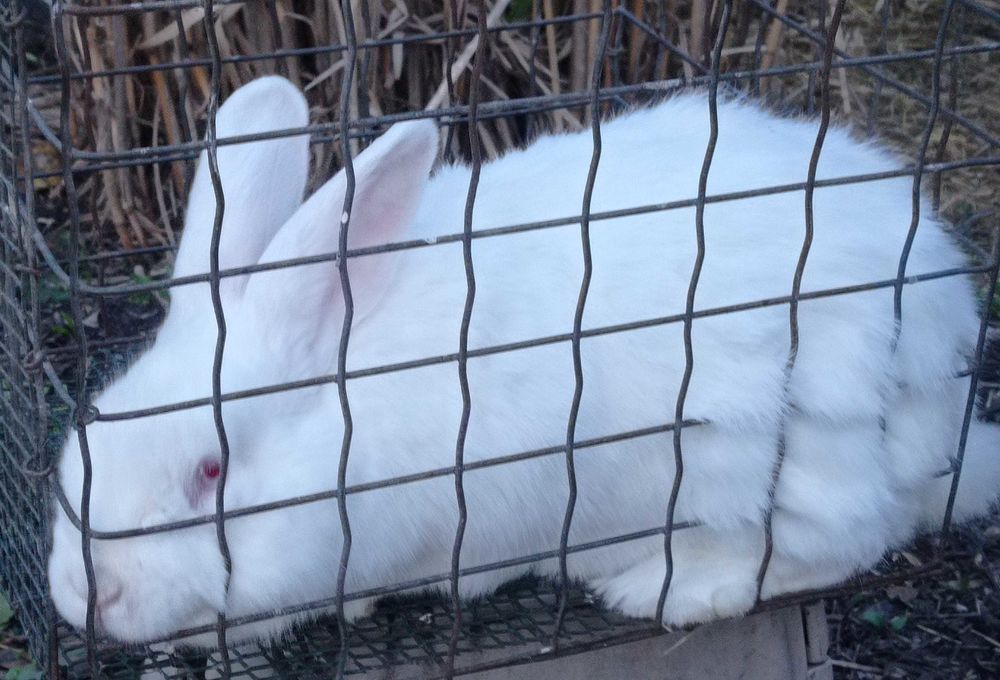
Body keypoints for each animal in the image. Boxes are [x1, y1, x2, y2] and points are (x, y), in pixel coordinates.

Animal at [48, 75, 1000, 647]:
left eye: (209, 472)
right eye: (87, 435)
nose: (82, 595)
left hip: (802, 447)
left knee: (844, 542)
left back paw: (669, 589)